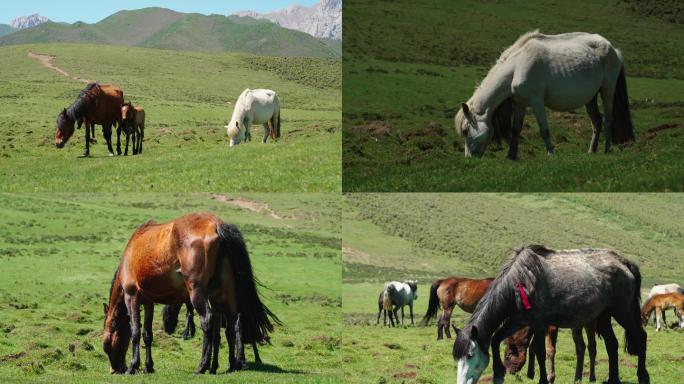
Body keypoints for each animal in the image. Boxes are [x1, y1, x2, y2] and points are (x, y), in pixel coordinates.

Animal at [101, 212, 278, 374]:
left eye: (106, 344)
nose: (114, 370)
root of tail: (216, 224)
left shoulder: (131, 296)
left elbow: (136, 332)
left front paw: (133, 366)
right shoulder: (149, 302)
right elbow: (147, 334)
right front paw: (149, 366)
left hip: (197, 291)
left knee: (207, 320)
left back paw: (203, 366)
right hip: (222, 295)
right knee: (232, 324)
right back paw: (232, 365)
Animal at [452, 246, 648, 384]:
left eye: (470, 355)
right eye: (457, 358)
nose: (461, 383)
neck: (521, 280)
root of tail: (624, 262)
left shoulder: (539, 324)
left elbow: (540, 352)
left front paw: (543, 379)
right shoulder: (517, 321)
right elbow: (495, 340)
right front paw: (498, 374)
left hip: (622, 312)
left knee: (641, 336)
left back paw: (642, 376)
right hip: (603, 317)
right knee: (612, 344)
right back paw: (613, 379)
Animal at [454, 30, 636, 160]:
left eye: (465, 130)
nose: (469, 158)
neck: (516, 67)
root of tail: (614, 50)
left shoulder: (536, 102)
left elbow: (544, 130)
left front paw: (551, 154)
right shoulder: (519, 103)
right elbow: (516, 129)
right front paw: (511, 156)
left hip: (607, 90)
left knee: (608, 119)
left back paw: (606, 149)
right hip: (590, 98)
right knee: (596, 122)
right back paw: (591, 151)